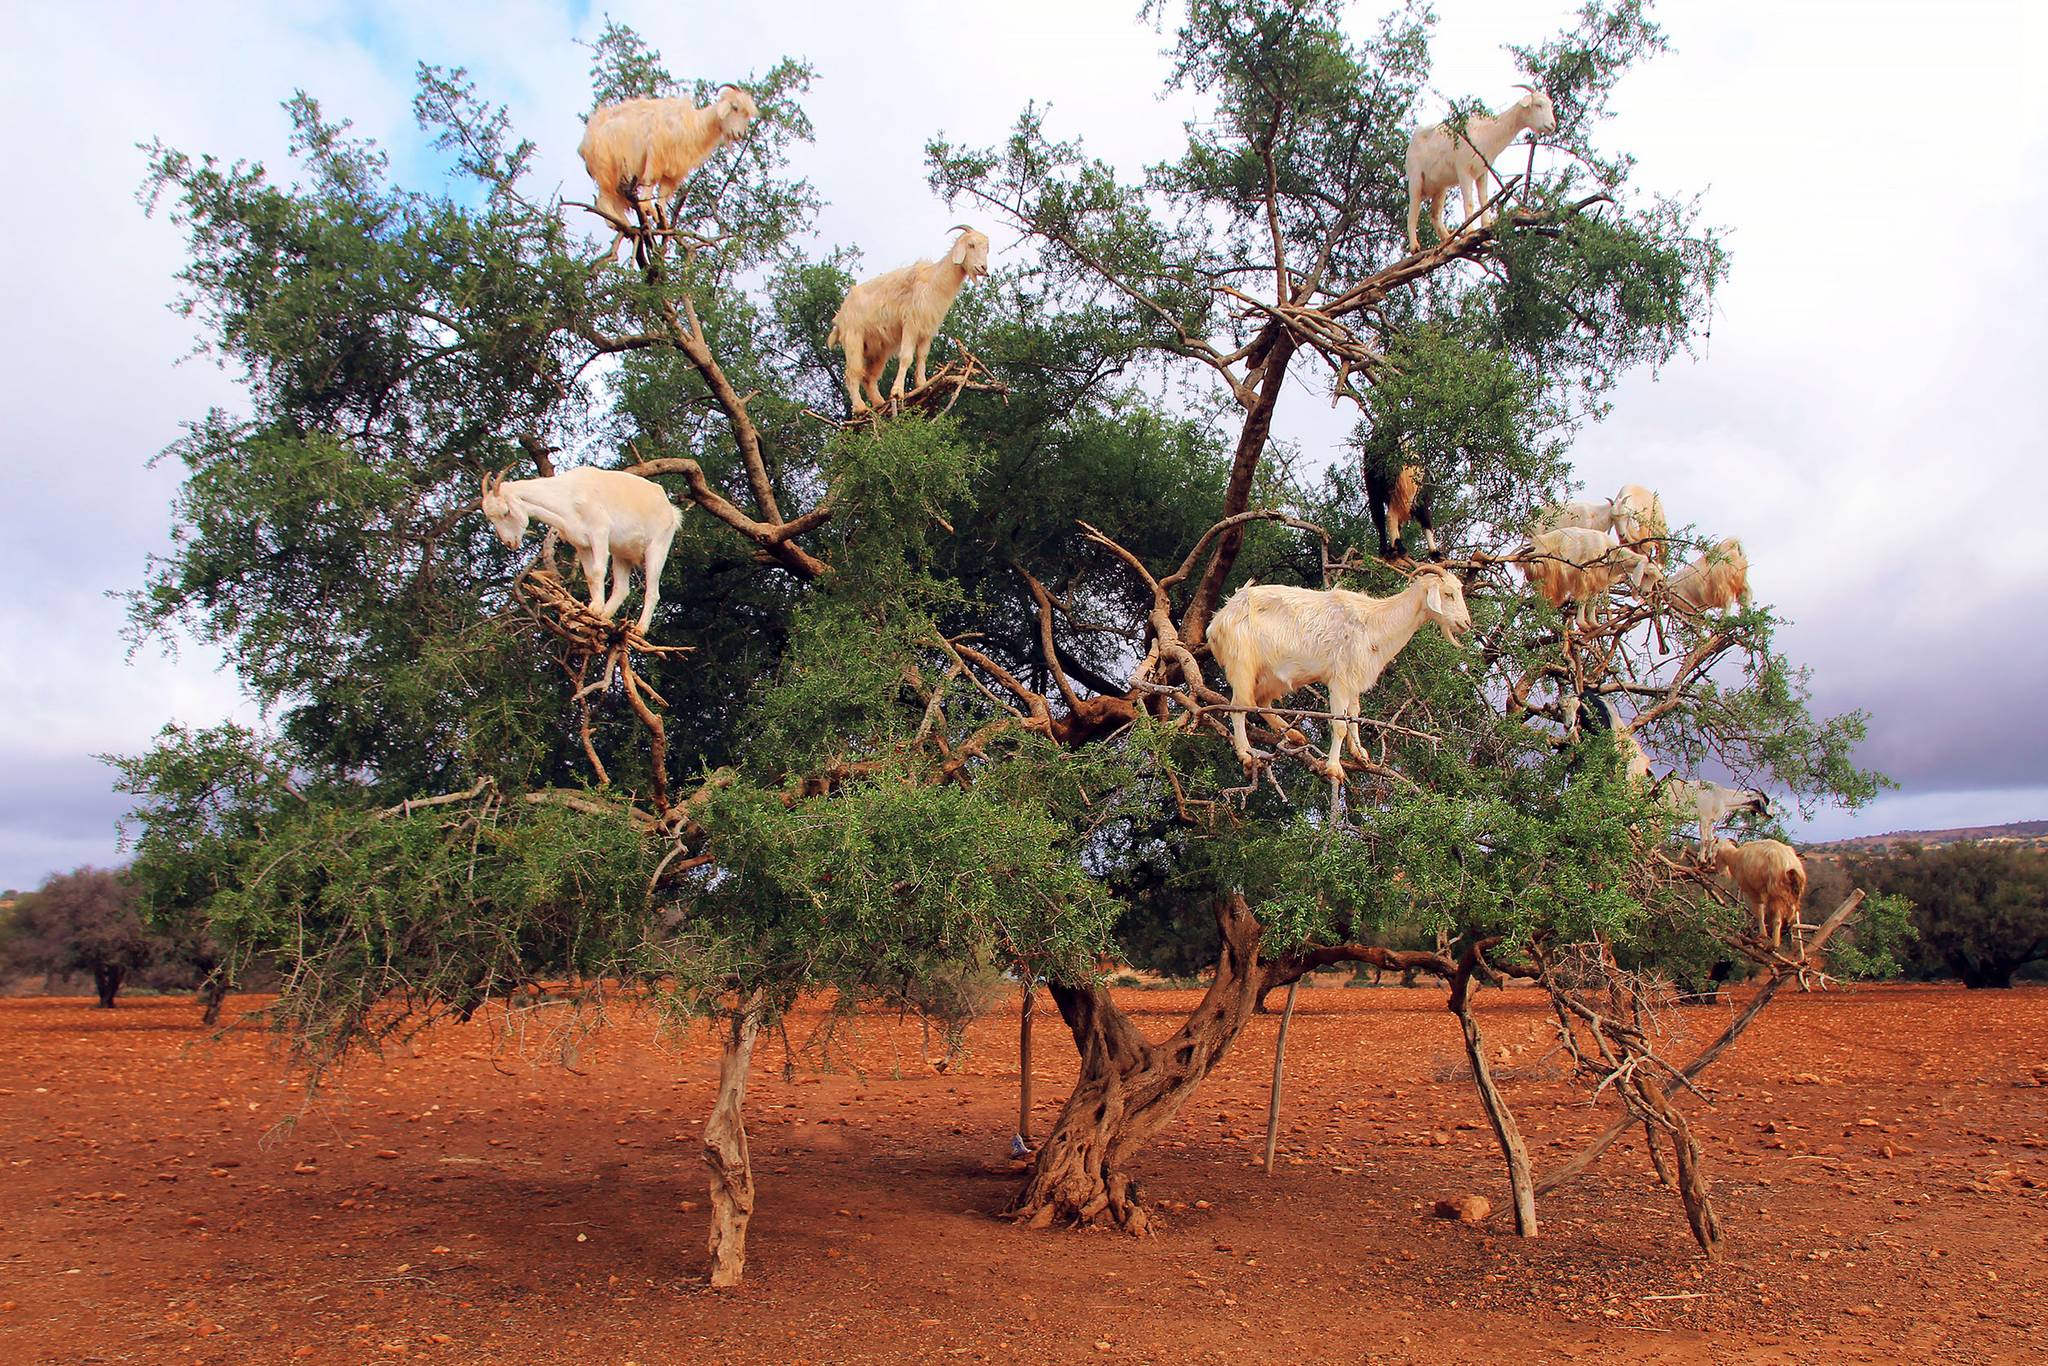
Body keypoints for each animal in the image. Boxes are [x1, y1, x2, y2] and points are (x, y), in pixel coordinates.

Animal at [477, 464, 679, 634]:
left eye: (506, 512)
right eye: (490, 517)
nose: (509, 542)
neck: (568, 496)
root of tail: (671, 511)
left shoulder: (599, 532)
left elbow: (598, 571)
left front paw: (595, 608)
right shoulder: (581, 544)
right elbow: (589, 576)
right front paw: (594, 611)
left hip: (657, 547)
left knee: (653, 591)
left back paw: (639, 629)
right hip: (622, 553)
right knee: (622, 588)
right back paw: (605, 617)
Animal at [577, 83, 761, 260]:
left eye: (746, 115)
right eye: (735, 107)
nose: (738, 134)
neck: (692, 125)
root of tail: (585, 142)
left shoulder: (672, 173)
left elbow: (663, 195)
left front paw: (663, 222)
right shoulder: (656, 155)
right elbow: (650, 181)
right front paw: (646, 208)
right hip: (606, 168)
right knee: (604, 200)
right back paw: (620, 224)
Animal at [1196, 565, 1474, 778]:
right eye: (1448, 594)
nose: (1466, 623)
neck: (1375, 621)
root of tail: (1217, 622)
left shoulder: (1354, 680)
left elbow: (1355, 716)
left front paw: (1361, 755)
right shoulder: (1339, 681)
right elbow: (1340, 724)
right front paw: (1334, 768)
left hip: (1271, 675)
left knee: (1260, 701)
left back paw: (1294, 735)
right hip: (1241, 663)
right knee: (1239, 706)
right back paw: (1245, 753)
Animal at [1400, 84, 1556, 253]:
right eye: (1538, 105)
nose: (1552, 125)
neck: (1486, 132)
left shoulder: (1482, 172)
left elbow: (1484, 200)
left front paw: (1486, 232)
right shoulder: (1463, 170)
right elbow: (1469, 202)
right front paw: (1470, 232)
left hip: (1440, 187)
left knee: (1435, 214)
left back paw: (1447, 241)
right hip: (1416, 177)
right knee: (1413, 210)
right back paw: (1415, 247)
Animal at [1523, 528, 1662, 626]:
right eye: (1646, 574)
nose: (1646, 592)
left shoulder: (1597, 580)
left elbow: (1593, 600)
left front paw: (1593, 624)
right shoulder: (1585, 574)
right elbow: (1583, 598)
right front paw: (1583, 624)